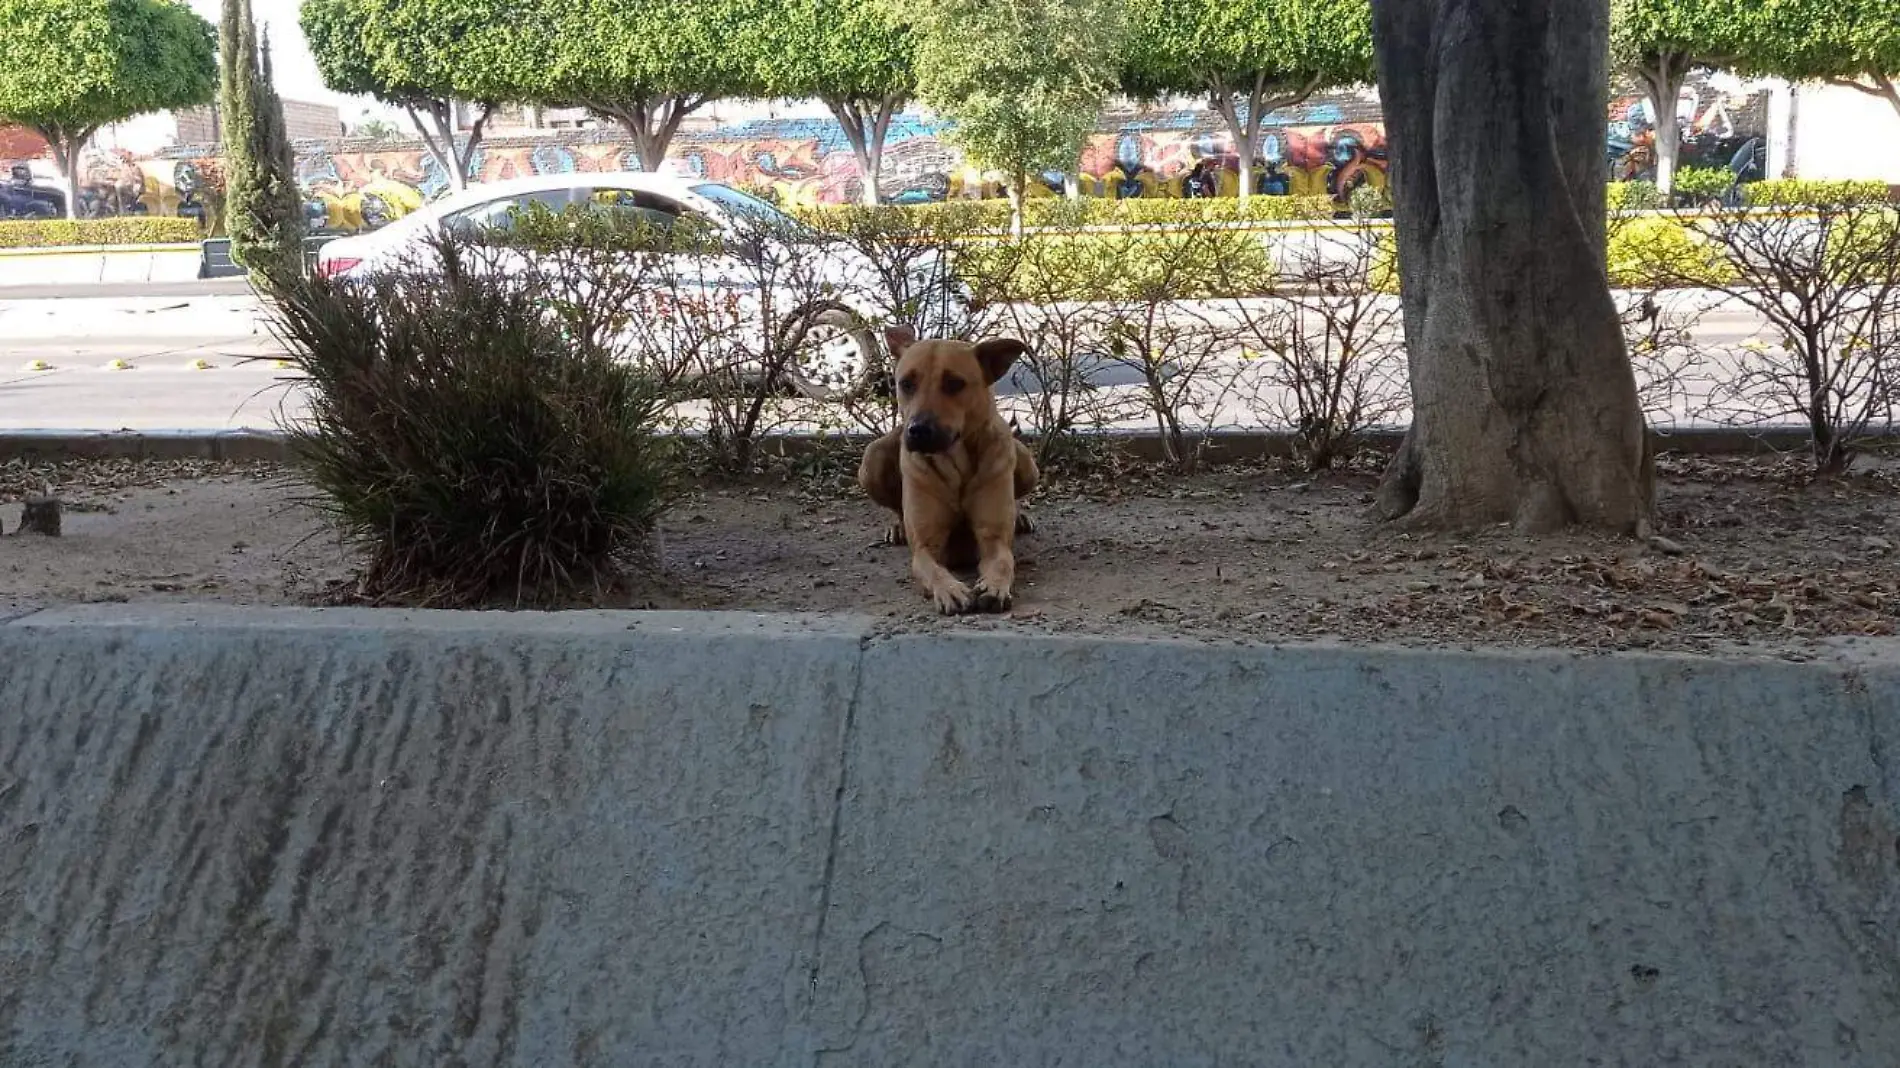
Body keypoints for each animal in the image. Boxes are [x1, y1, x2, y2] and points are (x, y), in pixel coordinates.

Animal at [858, 324, 1041, 611]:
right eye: (906, 383)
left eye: (954, 383)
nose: (918, 430)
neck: (957, 464)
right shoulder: (925, 546)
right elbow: (932, 569)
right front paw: (949, 589)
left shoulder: (993, 540)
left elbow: (1003, 561)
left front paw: (995, 586)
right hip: (872, 460)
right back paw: (898, 527)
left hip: (1026, 464)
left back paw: (1020, 515)